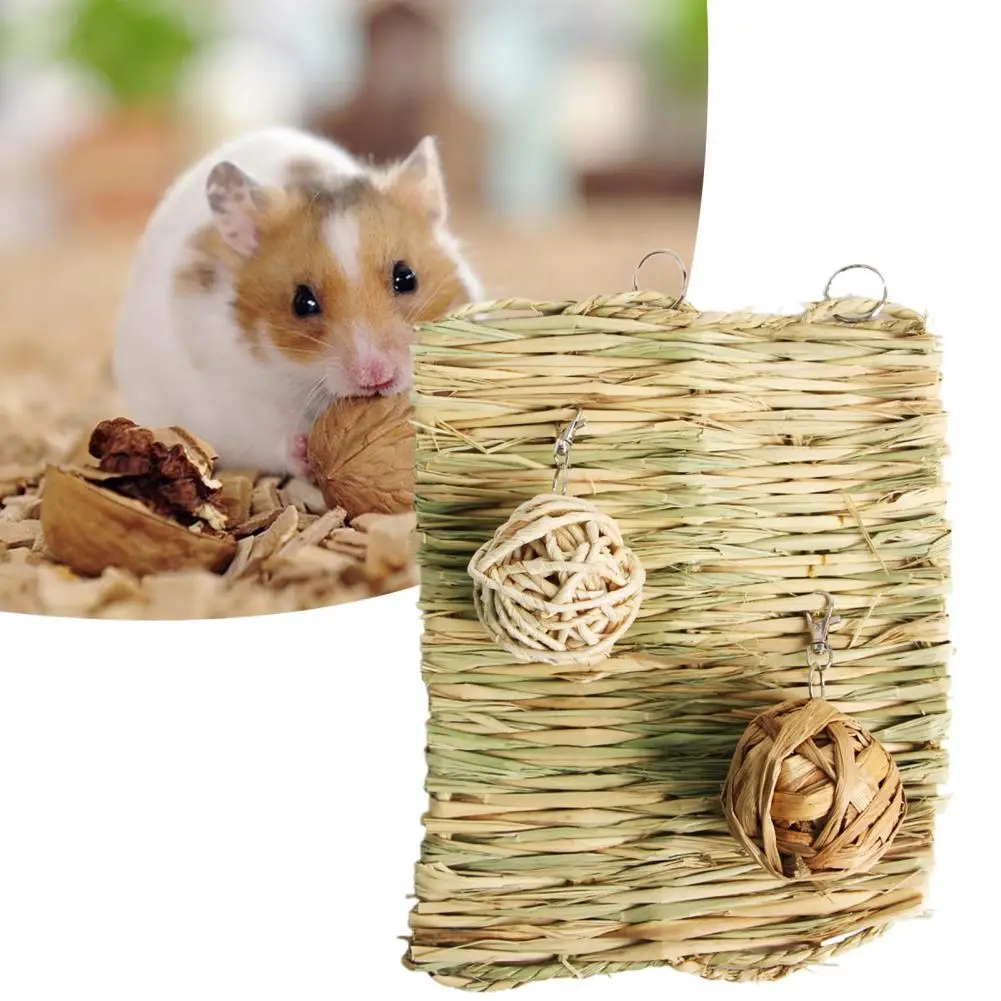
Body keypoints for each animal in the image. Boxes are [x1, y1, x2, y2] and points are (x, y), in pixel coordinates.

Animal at [112, 127, 482, 477]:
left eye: (407, 278)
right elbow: (267, 433)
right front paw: (304, 451)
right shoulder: (226, 398)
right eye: (302, 303)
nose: (376, 376)